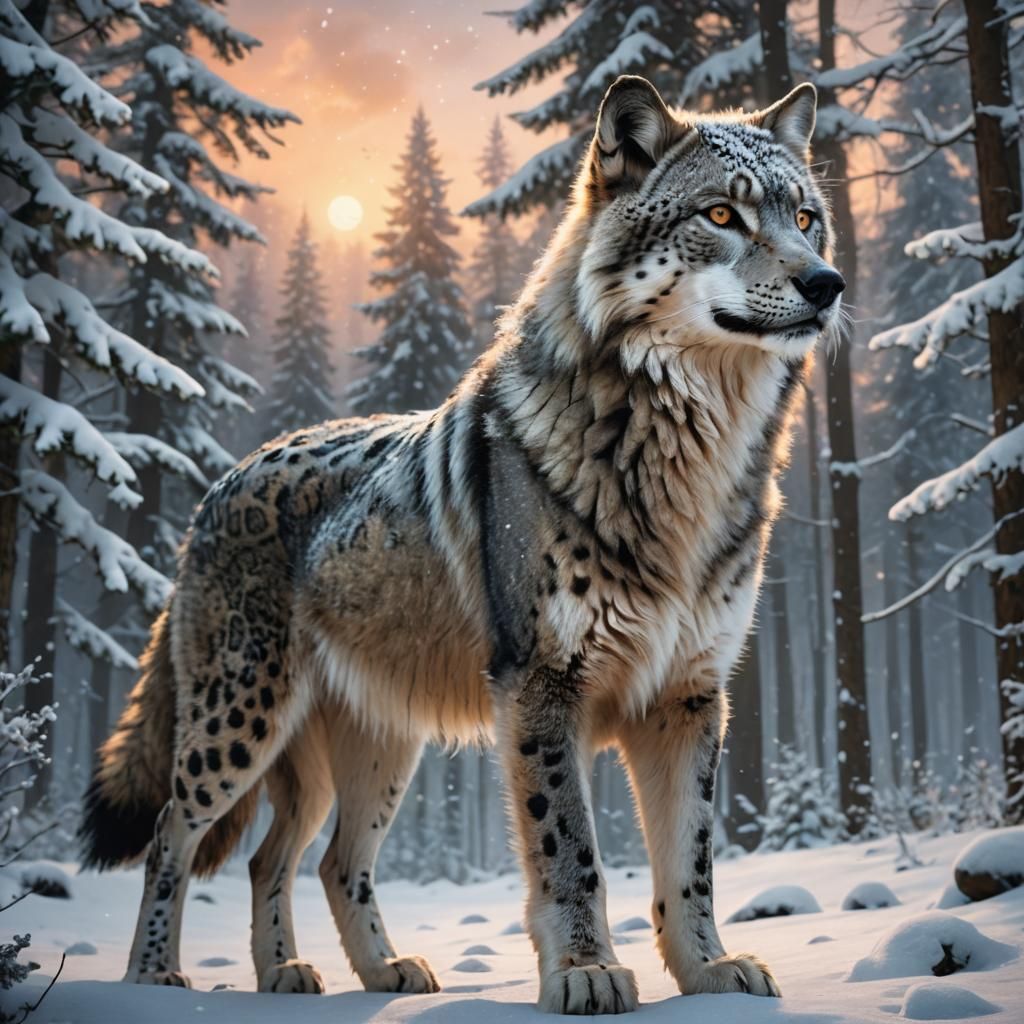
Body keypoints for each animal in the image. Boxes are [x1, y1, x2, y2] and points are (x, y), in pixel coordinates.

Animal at [81, 75, 844, 1014]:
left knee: (302, 860)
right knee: (172, 838)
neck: (683, 461)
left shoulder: (689, 696)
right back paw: (154, 975)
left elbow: (690, 863)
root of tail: (221, 482)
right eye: (723, 215)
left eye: (804, 218)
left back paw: (344, 975)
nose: (827, 282)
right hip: (241, 730)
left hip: (371, 756)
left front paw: (709, 973)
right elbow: (572, 854)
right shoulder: (544, 685)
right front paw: (586, 973)